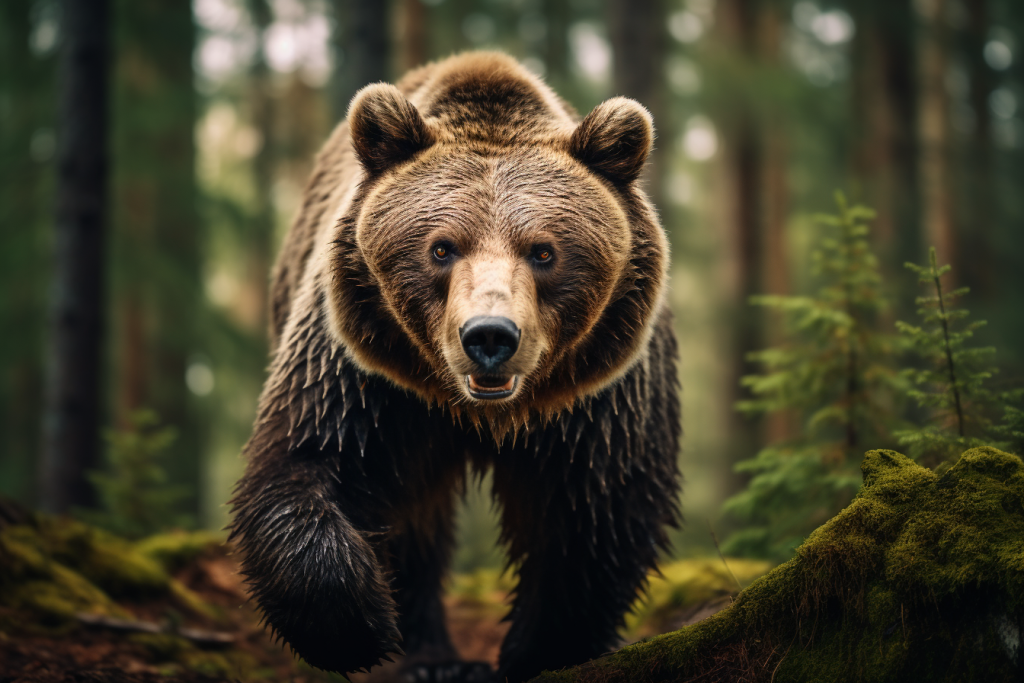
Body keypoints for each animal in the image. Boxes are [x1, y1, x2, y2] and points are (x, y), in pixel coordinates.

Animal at [230, 52, 682, 683]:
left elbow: (596, 512)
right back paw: (430, 657)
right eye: (441, 248)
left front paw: (542, 651)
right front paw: (362, 625)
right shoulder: (365, 374)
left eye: (544, 251)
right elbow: (306, 461)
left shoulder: (599, 394)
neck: (480, 413)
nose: (489, 336)